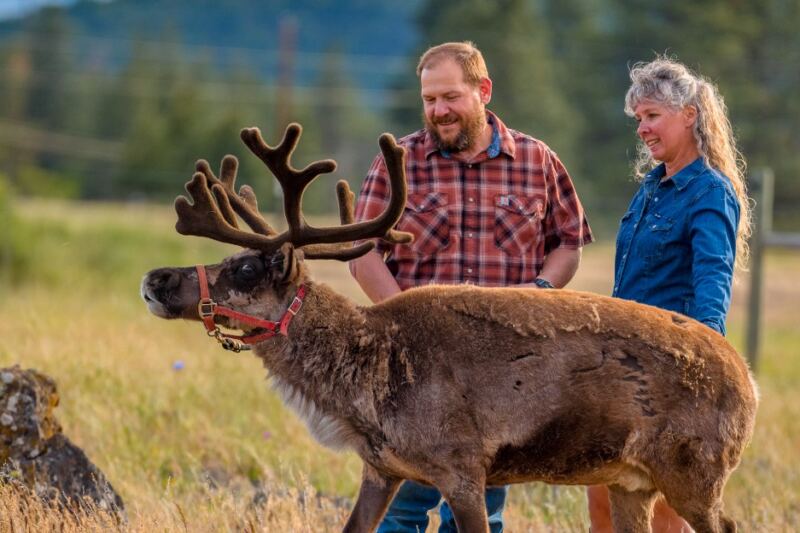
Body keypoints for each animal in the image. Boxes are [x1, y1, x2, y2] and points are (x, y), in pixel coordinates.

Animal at [141, 123, 758, 533]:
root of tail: (749, 380)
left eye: (246, 268)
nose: (155, 277)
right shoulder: (382, 469)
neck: (366, 386)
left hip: (694, 471)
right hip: (629, 481)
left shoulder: (463, 467)